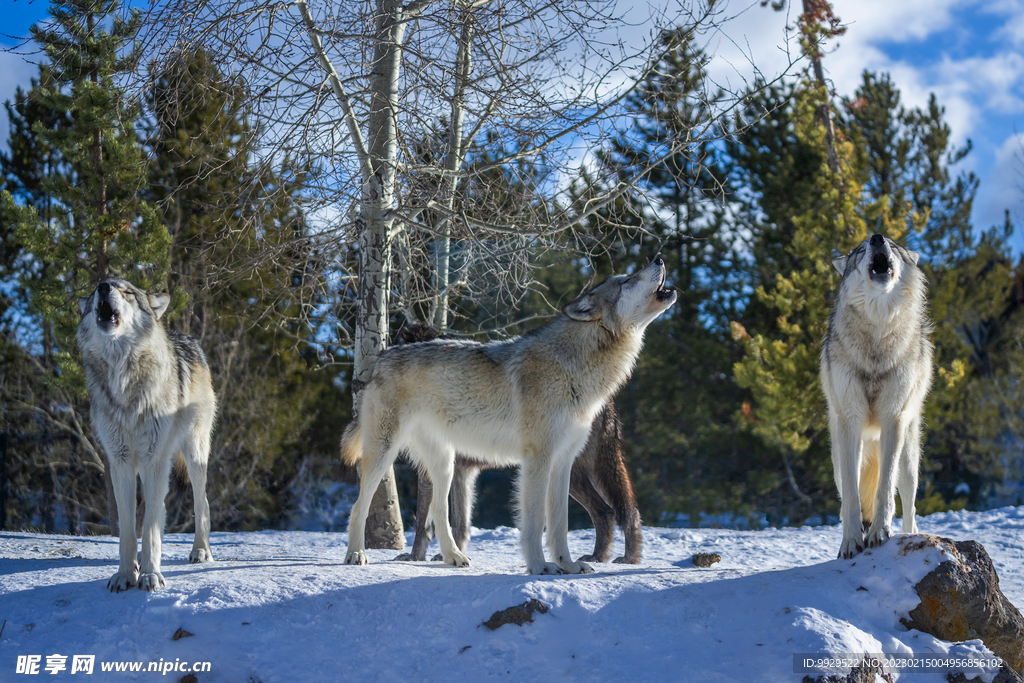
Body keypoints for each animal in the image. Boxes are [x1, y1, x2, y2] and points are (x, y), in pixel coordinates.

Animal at [78, 280, 218, 589]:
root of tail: (189, 339)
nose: (103, 286)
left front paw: (150, 575)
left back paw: (200, 551)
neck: (124, 379)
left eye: (127, 291)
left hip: (193, 452)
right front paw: (124, 575)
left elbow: (151, 527)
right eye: (94, 292)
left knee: (201, 502)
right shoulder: (120, 462)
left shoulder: (155, 459)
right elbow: (130, 529)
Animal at [391, 323, 638, 565]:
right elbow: (459, 522)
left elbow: (423, 521)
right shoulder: (462, 471)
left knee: (607, 511)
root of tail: (607, 401)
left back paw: (606, 558)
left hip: (573, 472)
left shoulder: (432, 471)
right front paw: (454, 555)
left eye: (396, 344)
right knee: (618, 510)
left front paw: (415, 557)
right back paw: (617, 557)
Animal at [819, 235, 933, 561]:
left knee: (908, 503)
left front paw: (879, 533)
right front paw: (850, 542)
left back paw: (909, 536)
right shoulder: (850, 423)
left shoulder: (893, 418)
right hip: (838, 458)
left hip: (909, 457)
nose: (877, 238)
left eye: (893, 245)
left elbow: (885, 488)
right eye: (860, 251)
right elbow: (852, 499)